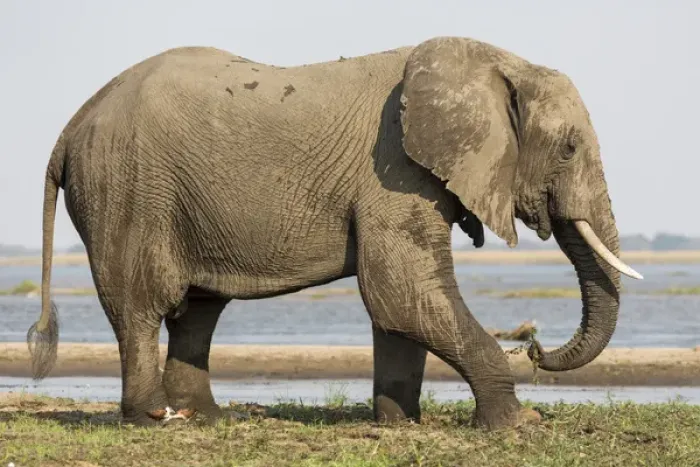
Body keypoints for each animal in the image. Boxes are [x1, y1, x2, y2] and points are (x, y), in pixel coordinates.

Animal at [28, 36, 643, 430]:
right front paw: (521, 424)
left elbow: (400, 306)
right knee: (140, 305)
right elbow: (402, 292)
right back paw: (151, 420)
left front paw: (400, 425)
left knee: (200, 310)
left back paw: (204, 418)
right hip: (126, 187)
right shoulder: (394, 173)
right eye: (569, 148)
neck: (496, 64)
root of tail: (70, 128)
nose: (534, 346)